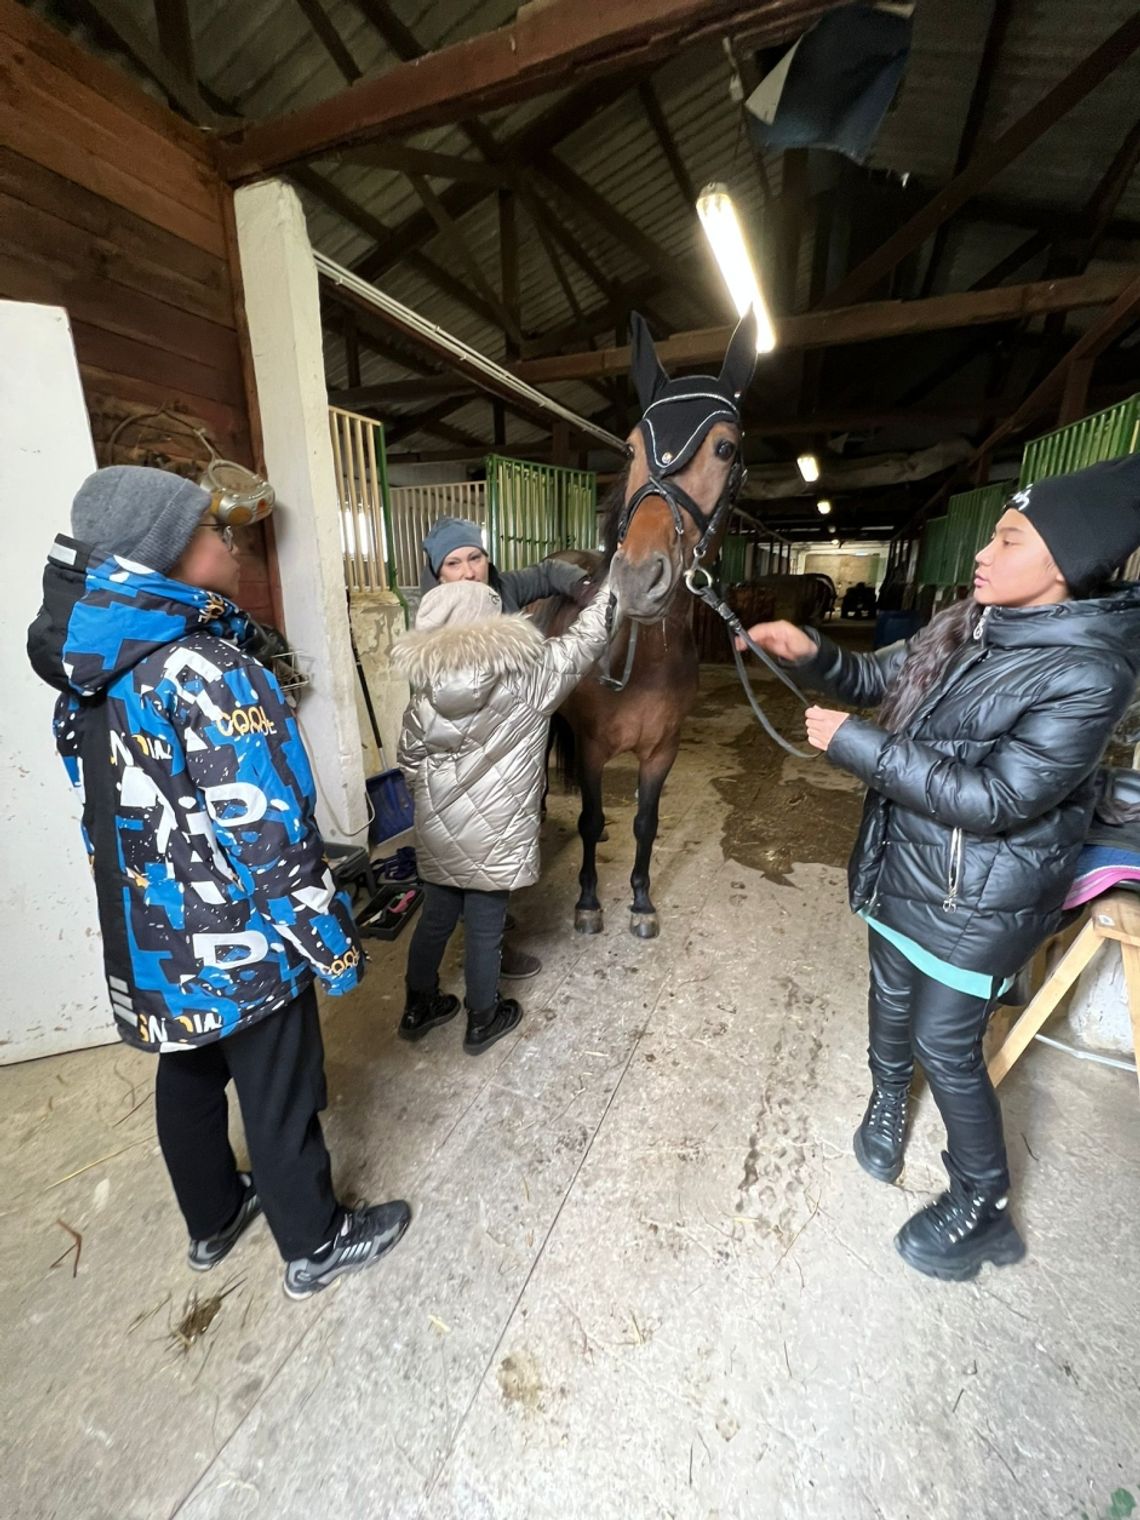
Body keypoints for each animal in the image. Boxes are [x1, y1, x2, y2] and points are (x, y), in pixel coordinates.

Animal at [541, 308, 760, 936]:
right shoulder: (591, 749)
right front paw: (589, 902)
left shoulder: (663, 751)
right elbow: (590, 818)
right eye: (632, 446)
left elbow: (646, 823)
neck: (641, 660)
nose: (638, 577)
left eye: (726, 447)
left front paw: (640, 901)